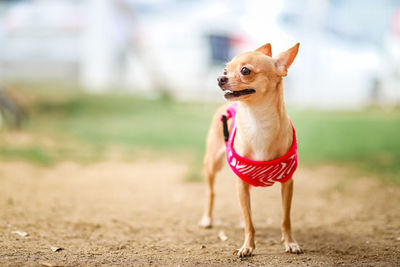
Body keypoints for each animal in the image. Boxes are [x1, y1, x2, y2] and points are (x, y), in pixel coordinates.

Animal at [202, 43, 302, 258]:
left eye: (245, 71)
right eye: (225, 70)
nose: (220, 78)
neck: (257, 121)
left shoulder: (287, 183)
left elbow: (285, 219)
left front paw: (290, 242)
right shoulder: (240, 183)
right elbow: (250, 222)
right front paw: (247, 247)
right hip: (212, 165)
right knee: (211, 193)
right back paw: (207, 219)